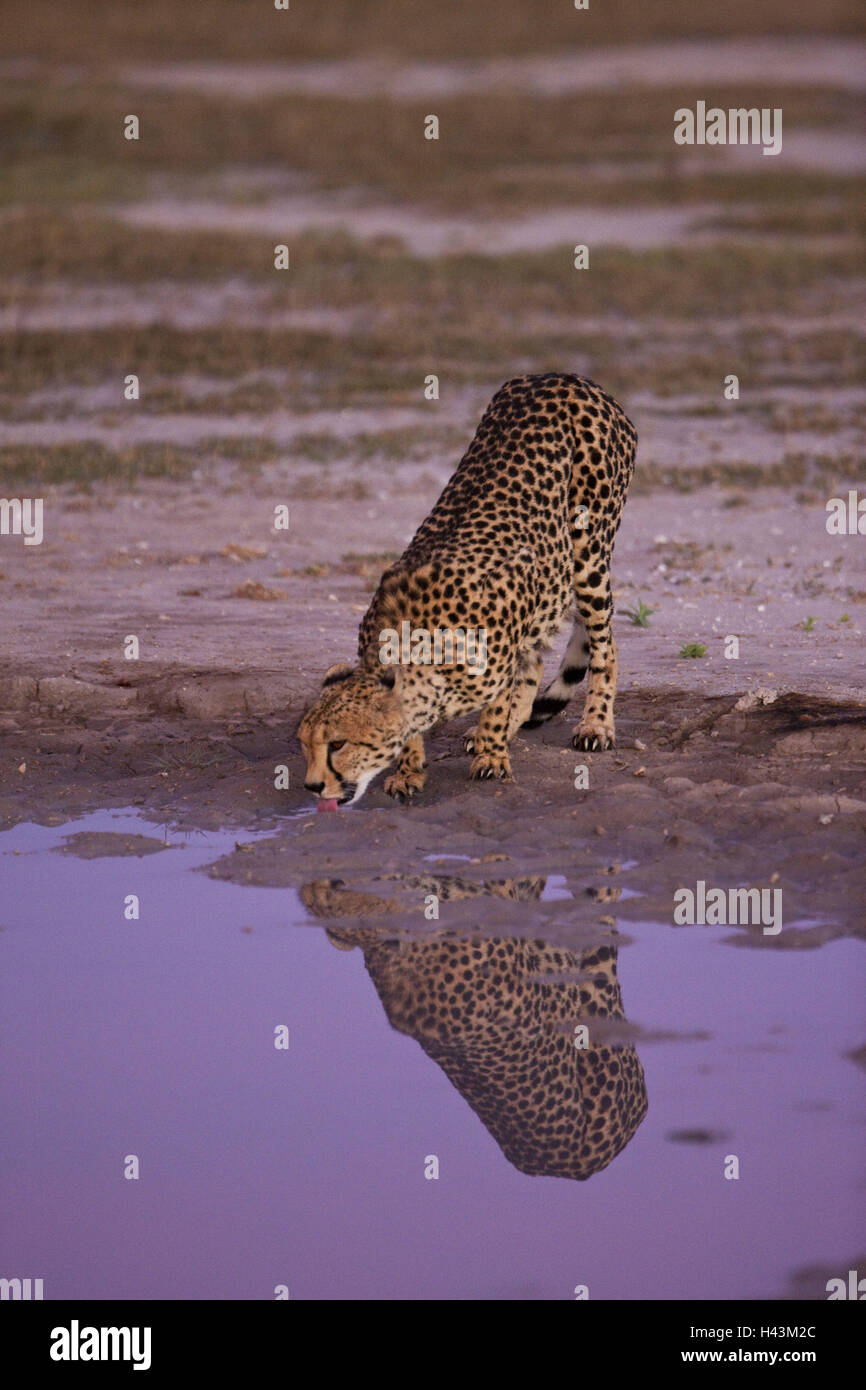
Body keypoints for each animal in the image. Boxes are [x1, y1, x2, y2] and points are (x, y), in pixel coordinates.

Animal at [300, 372, 636, 806]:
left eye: (338, 744)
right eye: (304, 744)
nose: (311, 786)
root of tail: (564, 377)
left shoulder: (508, 617)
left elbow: (498, 699)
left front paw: (492, 756)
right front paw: (408, 772)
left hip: (588, 553)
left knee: (605, 647)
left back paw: (595, 726)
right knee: (540, 662)